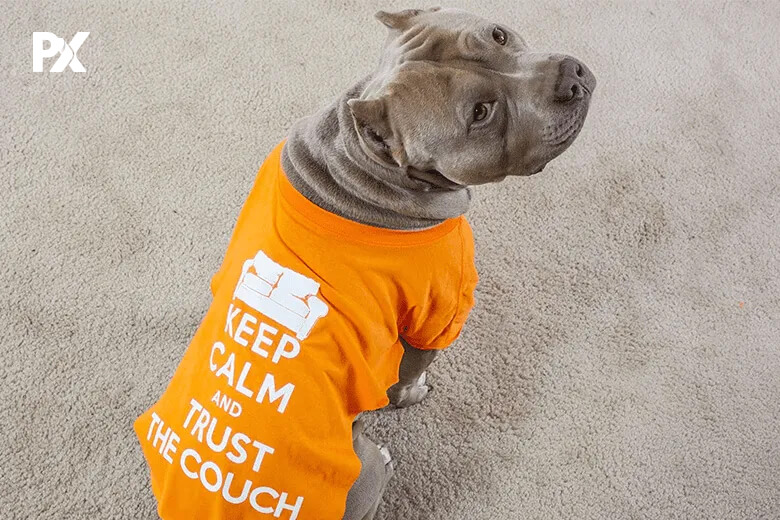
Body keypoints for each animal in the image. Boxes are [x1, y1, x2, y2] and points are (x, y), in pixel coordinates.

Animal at [135, 7, 595, 520]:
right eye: (481, 113)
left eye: (498, 34)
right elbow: (412, 370)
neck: (360, 165)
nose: (572, 77)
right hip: (365, 466)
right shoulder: (437, 318)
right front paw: (412, 393)